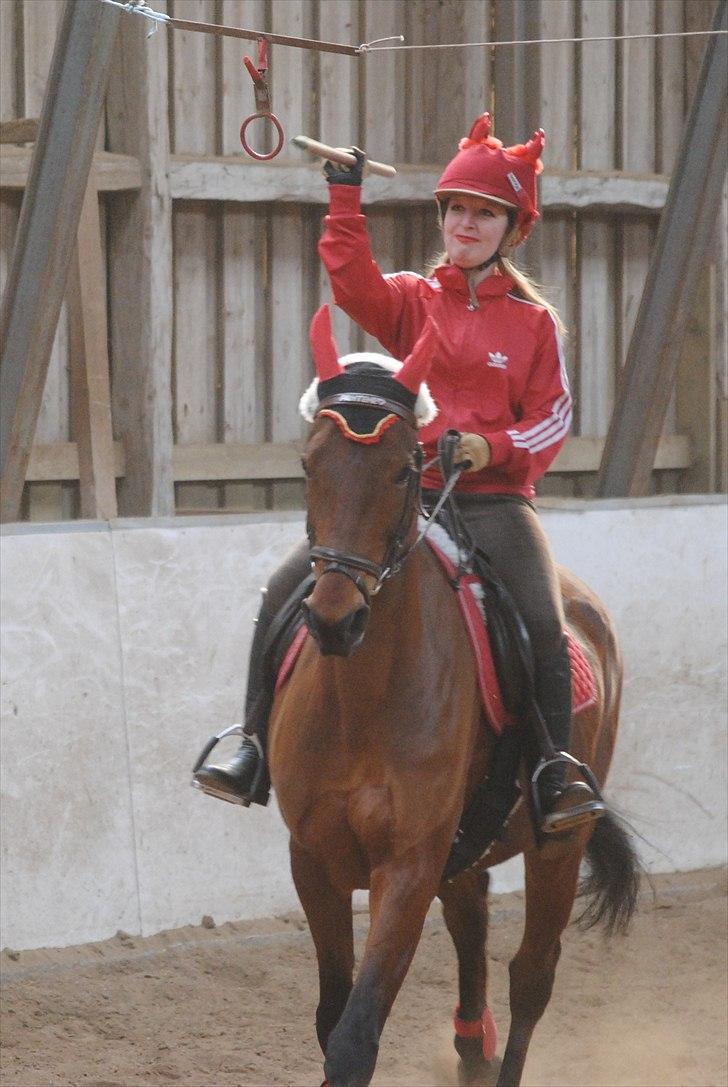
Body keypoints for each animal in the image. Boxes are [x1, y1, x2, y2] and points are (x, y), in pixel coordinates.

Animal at [268, 306, 638, 1087]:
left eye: (405, 469)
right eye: (310, 464)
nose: (336, 620)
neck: (363, 700)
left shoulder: (407, 866)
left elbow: (355, 1035)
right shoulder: (312, 858)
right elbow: (329, 1017)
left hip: (559, 844)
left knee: (531, 975)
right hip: (463, 851)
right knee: (473, 934)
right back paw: (473, 1044)